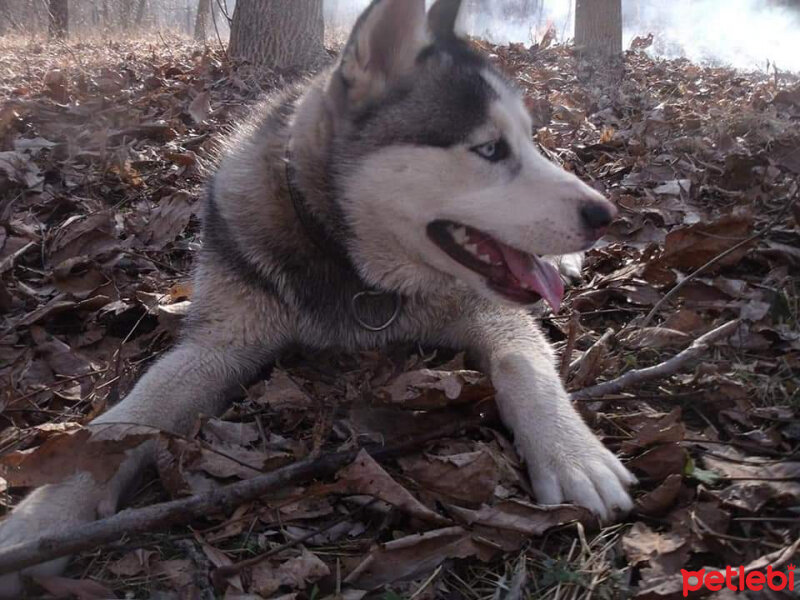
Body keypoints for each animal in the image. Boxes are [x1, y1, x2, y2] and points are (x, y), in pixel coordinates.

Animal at [1, 0, 636, 592]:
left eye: (527, 141)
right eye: (489, 150)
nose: (605, 214)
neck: (352, 269)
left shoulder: (483, 307)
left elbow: (520, 363)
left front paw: (571, 451)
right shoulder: (220, 339)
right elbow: (126, 421)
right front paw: (39, 523)